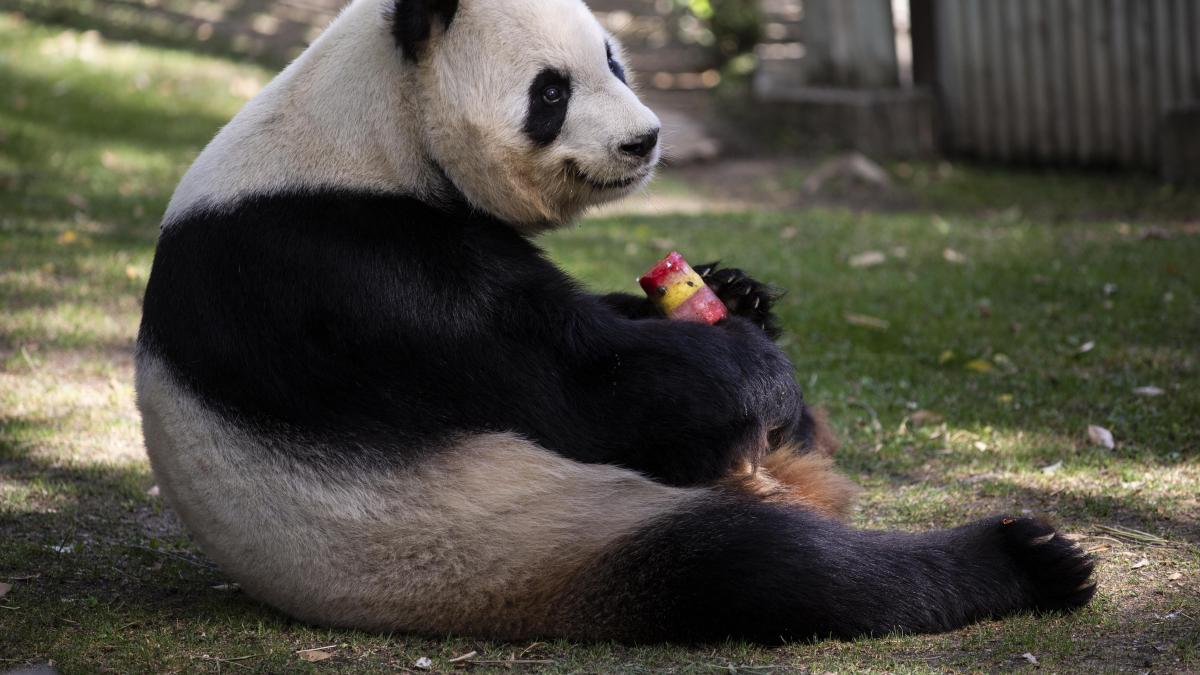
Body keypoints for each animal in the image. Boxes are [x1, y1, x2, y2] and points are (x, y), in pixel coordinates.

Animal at [136, 0, 1096, 643]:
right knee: (765, 569)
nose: (646, 140)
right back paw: (1031, 559)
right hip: (518, 535)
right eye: (551, 91)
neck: (371, 129)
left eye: (615, 61)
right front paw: (751, 362)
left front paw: (735, 293)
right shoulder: (348, 272)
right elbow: (586, 388)